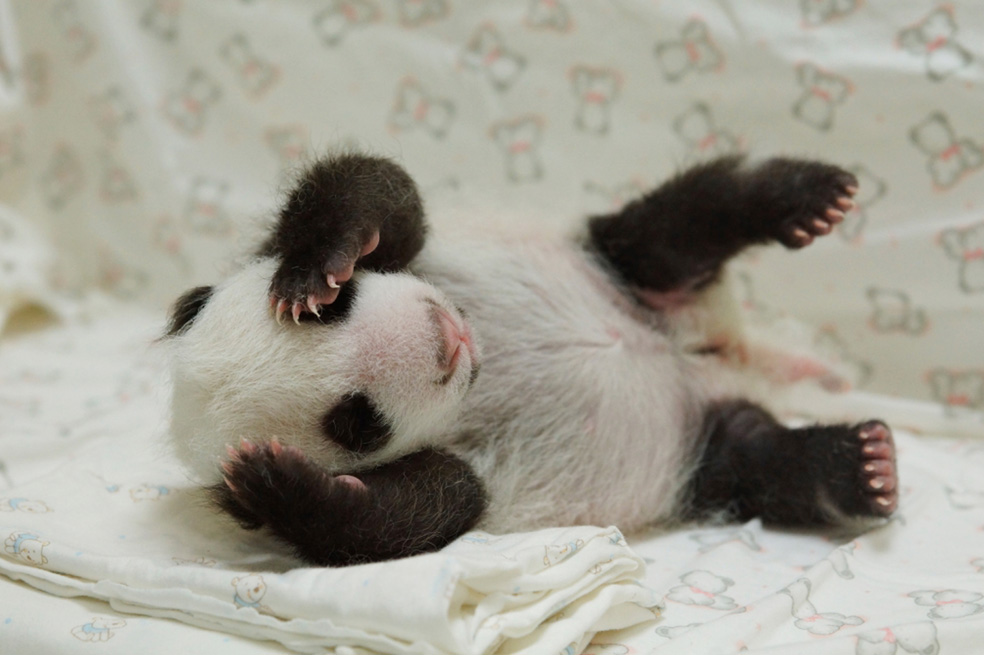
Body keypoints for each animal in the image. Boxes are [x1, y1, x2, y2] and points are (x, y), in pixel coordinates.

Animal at [164, 152, 899, 566]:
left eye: (341, 308)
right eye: (356, 421)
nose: (442, 338)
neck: (480, 371)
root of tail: (717, 357)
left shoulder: (419, 255)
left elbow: (378, 192)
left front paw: (315, 267)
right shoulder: (455, 470)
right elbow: (402, 520)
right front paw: (274, 483)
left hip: (611, 263)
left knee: (679, 223)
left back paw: (807, 198)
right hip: (699, 457)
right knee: (758, 460)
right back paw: (862, 466)